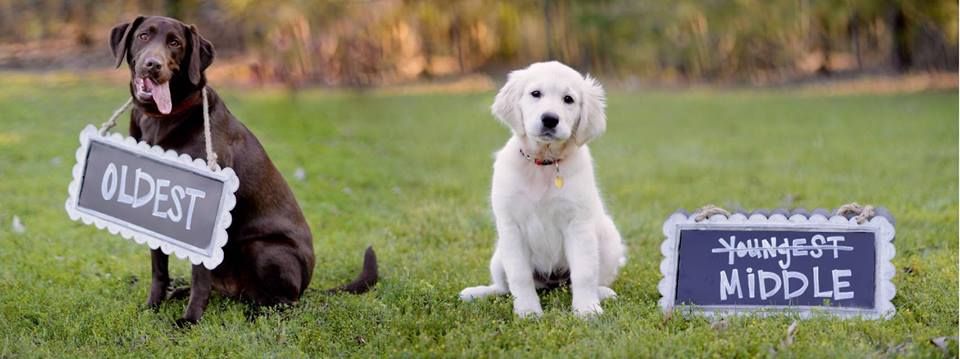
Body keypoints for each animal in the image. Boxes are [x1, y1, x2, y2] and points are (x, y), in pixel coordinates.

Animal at [460, 62, 628, 318]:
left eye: (568, 99)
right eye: (535, 93)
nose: (550, 119)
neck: (544, 163)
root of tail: (553, 283)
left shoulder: (578, 224)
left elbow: (584, 273)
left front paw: (587, 310)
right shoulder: (511, 226)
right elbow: (519, 275)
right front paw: (528, 311)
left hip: (609, 240)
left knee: (584, 280)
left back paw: (602, 293)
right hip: (498, 256)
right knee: (503, 287)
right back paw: (477, 292)